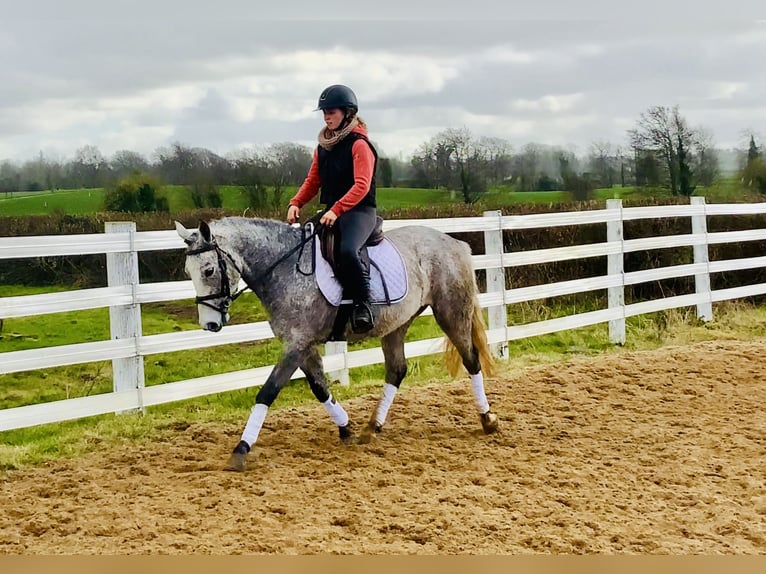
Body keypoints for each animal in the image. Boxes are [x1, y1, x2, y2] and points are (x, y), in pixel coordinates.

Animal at [178, 216, 504, 472]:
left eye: (208, 270)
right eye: (188, 272)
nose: (210, 324)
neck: (286, 269)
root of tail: (454, 243)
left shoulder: (296, 344)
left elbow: (268, 392)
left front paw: (241, 450)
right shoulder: (303, 345)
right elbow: (320, 388)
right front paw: (346, 428)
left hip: (451, 313)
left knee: (471, 360)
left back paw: (487, 419)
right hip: (397, 324)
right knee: (396, 370)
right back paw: (372, 428)